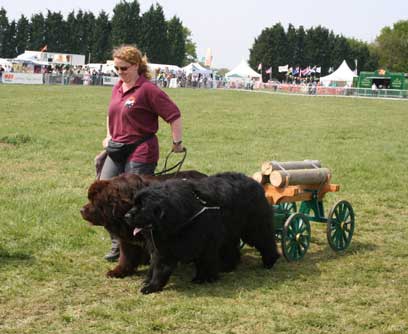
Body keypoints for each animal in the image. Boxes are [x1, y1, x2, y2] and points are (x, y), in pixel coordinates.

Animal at [126, 171, 278, 294]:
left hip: (253, 227)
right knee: (232, 248)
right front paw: (149, 283)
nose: (126, 216)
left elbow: (202, 261)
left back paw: (270, 261)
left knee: (265, 240)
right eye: (134, 204)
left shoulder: (203, 242)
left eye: (143, 207)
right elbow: (157, 265)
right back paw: (227, 267)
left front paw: (203, 278)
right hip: (229, 230)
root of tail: (256, 183)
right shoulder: (164, 246)